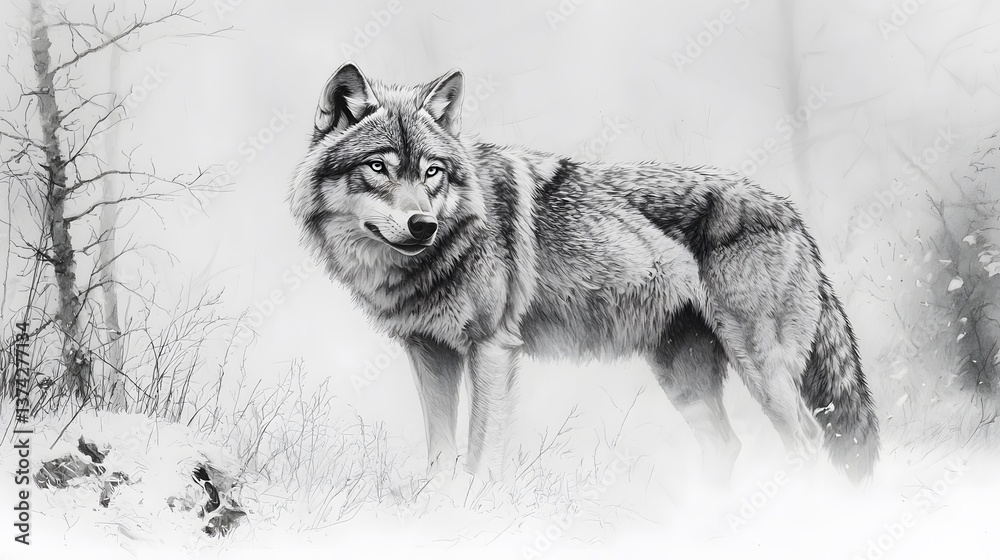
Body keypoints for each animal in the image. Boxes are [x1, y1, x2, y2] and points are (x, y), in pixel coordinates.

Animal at [290, 63, 880, 483]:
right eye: (378, 167)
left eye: (432, 171)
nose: (423, 225)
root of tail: (791, 213)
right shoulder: (429, 352)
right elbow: (440, 458)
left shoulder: (492, 350)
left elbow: (480, 457)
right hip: (684, 377)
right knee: (727, 446)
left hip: (763, 372)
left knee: (807, 445)